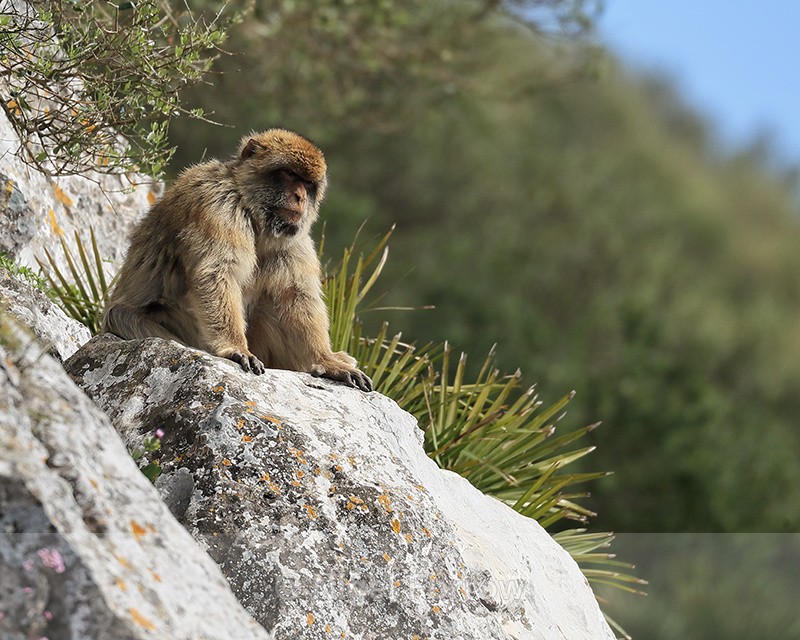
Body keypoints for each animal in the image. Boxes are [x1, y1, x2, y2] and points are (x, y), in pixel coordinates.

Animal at [102, 128, 372, 392]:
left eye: (307, 183)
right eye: (289, 174)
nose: (300, 197)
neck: (251, 210)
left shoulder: (293, 239)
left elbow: (295, 295)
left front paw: (326, 362)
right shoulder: (218, 205)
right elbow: (217, 273)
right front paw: (234, 348)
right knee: (125, 317)